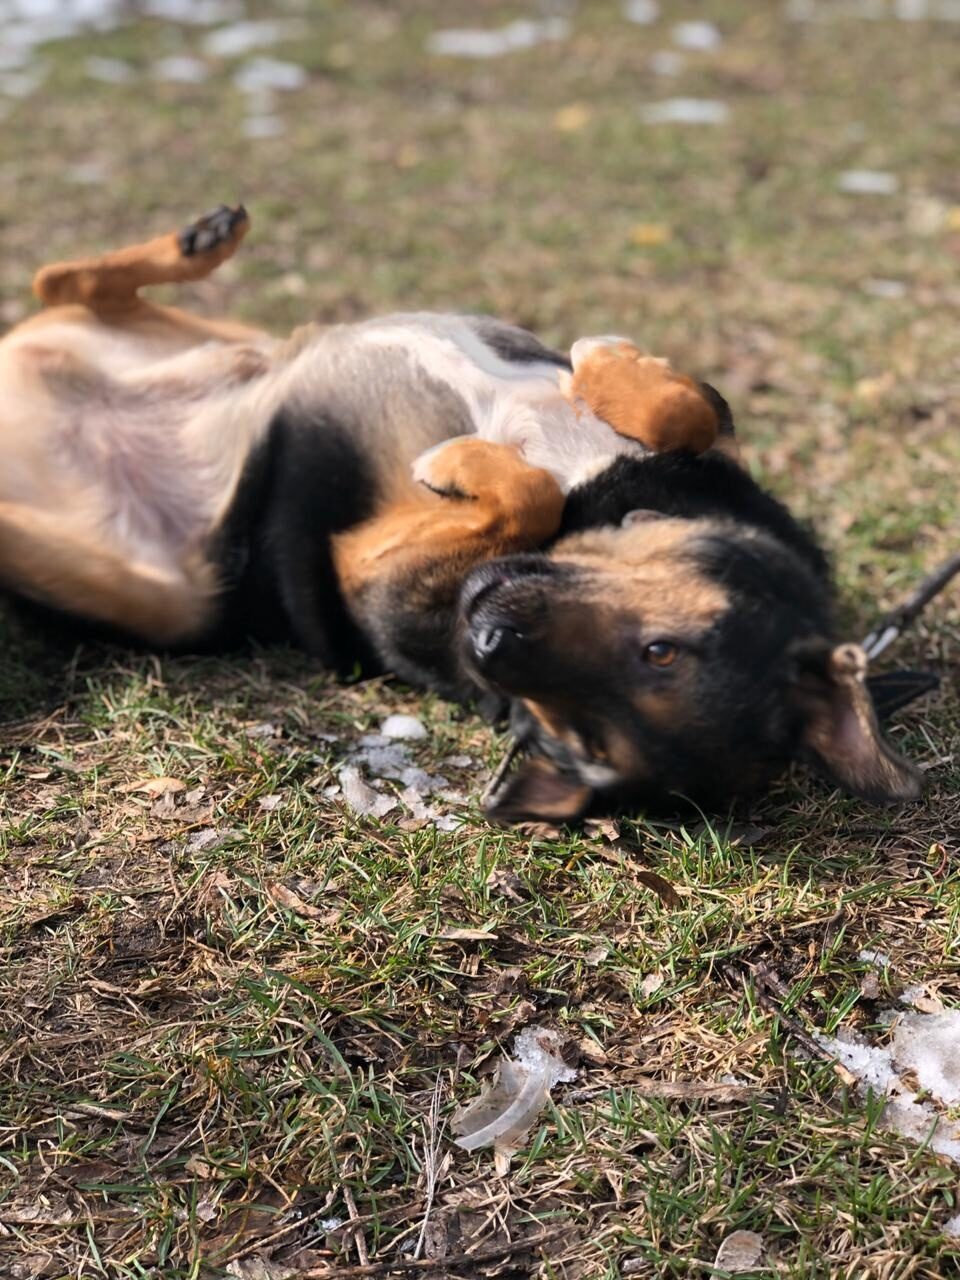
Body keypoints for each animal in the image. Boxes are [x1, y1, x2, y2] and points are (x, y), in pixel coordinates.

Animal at [0, 199, 926, 819]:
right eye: (661, 651)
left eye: (576, 740)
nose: (487, 640)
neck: (595, 507)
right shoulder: (712, 449)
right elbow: (685, 406)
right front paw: (606, 368)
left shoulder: (366, 570)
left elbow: (525, 490)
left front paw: (464, 463)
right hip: (226, 347)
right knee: (64, 284)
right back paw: (199, 239)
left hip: (166, 595)